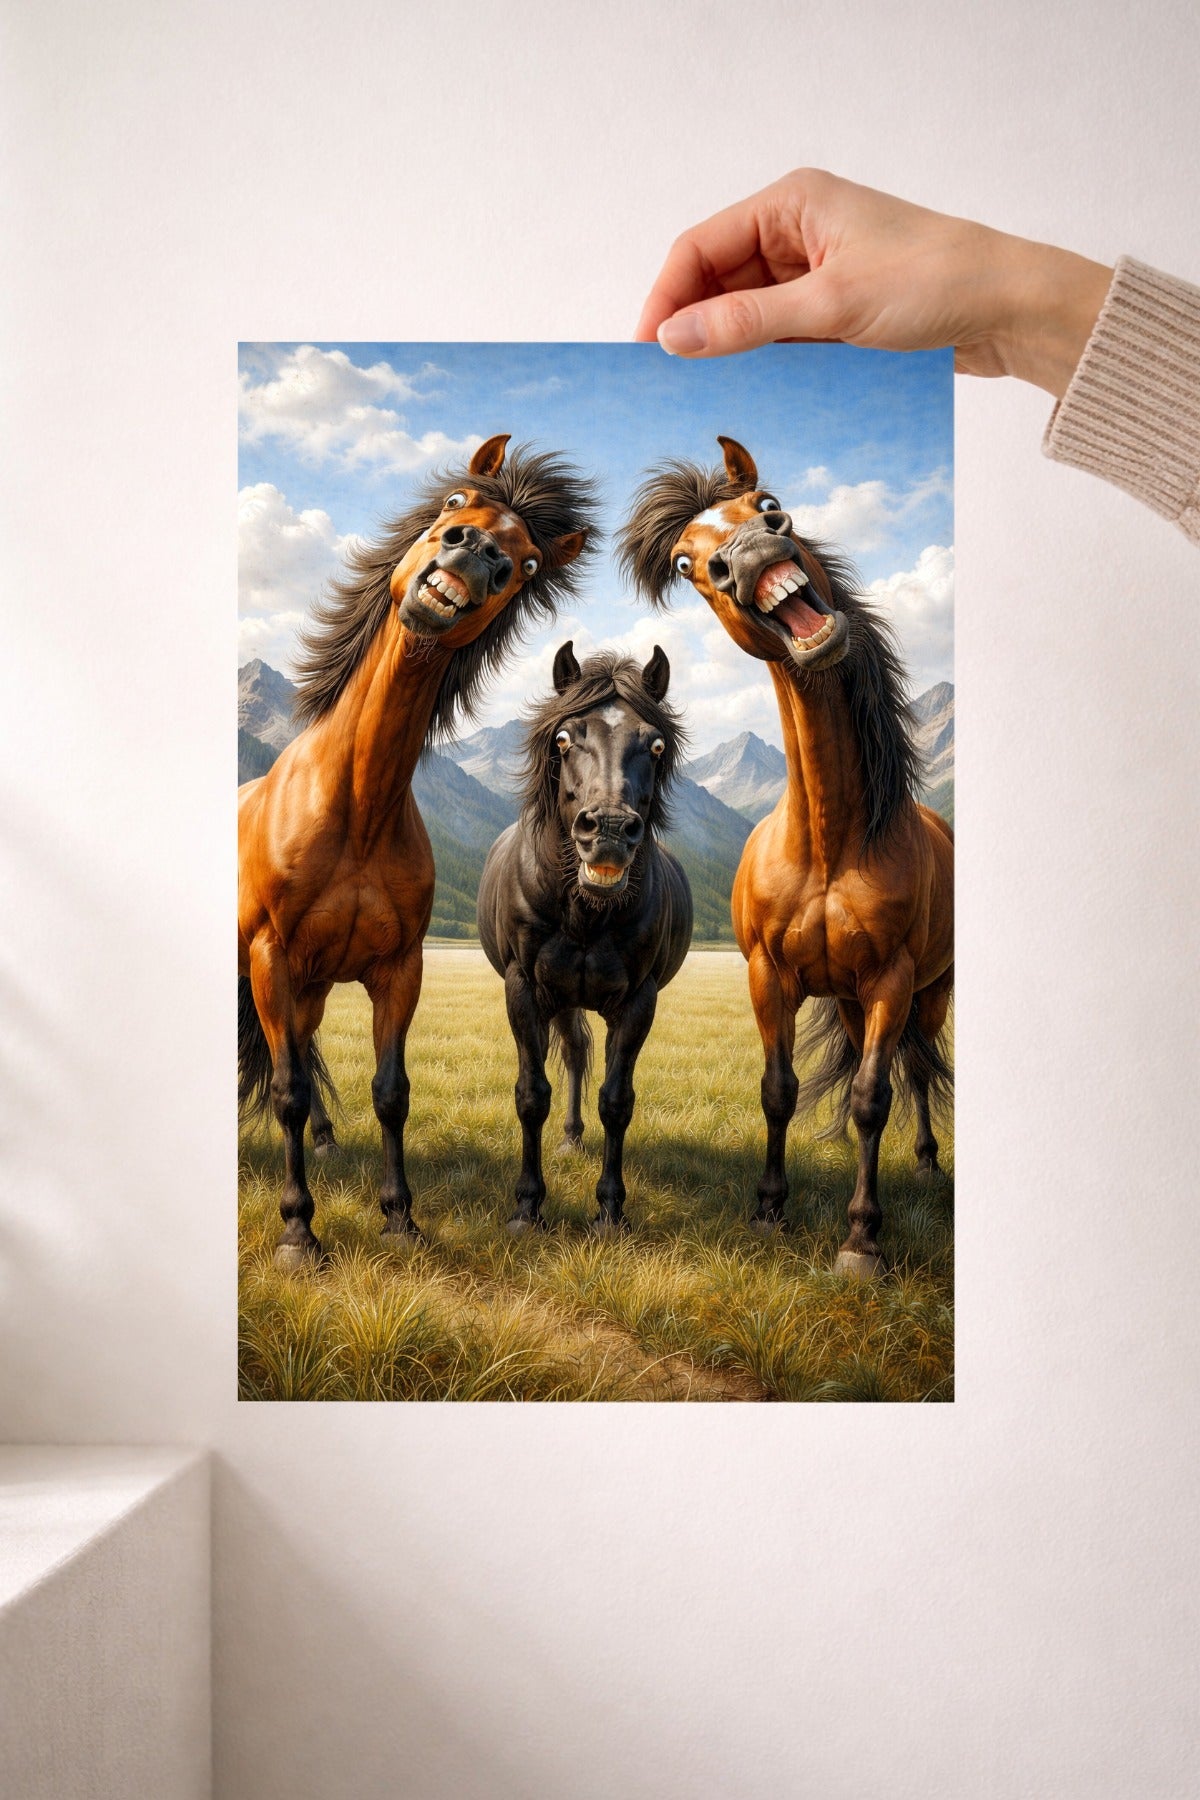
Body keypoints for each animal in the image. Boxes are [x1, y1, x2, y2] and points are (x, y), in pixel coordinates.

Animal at [239, 436, 596, 1268]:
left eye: (528, 564)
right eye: (454, 503)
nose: (477, 554)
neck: (356, 809)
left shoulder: (399, 969)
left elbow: (388, 1093)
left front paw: (399, 1216)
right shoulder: (271, 957)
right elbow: (287, 1092)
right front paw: (298, 1230)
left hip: (308, 987)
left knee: (304, 1054)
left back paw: (329, 1144)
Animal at [476, 643, 693, 1233]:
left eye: (656, 744)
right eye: (563, 738)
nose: (611, 831)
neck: (586, 913)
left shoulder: (639, 1000)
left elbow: (617, 1101)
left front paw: (611, 1209)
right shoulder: (524, 990)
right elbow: (532, 1096)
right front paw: (527, 1206)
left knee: (577, 1054)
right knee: (572, 1052)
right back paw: (569, 1141)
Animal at [617, 436, 953, 1277]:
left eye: (768, 504)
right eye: (686, 562)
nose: (748, 551)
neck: (830, 841)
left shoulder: (891, 980)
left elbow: (870, 1098)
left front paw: (862, 1238)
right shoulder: (770, 976)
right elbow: (779, 1088)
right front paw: (770, 1208)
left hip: (928, 990)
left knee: (917, 1071)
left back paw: (928, 1165)